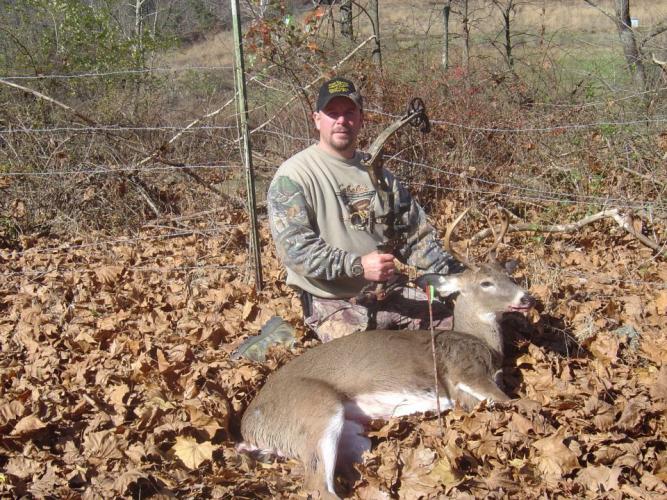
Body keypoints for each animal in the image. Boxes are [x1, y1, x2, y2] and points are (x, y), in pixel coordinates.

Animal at [238, 209, 535, 499]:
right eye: (486, 283)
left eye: (509, 277)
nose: (527, 298)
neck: (483, 342)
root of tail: (249, 426)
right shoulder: (466, 374)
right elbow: (517, 402)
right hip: (316, 410)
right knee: (319, 488)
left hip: (354, 433)